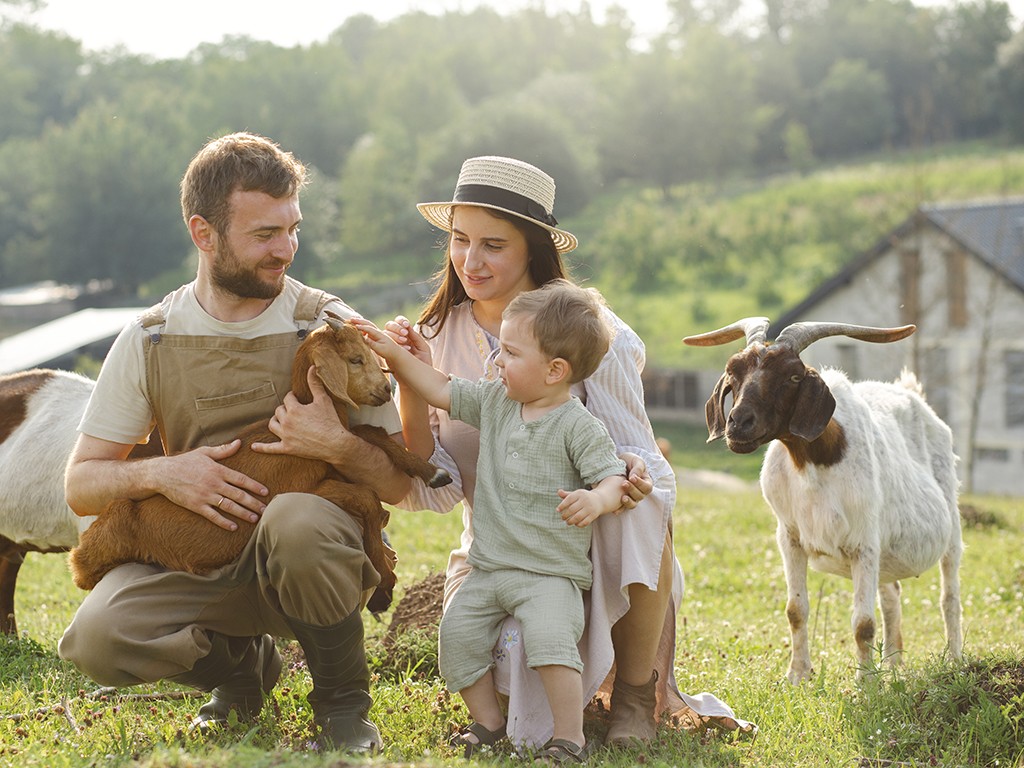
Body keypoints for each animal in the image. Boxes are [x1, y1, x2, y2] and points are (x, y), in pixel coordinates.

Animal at [66, 313, 446, 614]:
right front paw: (384, 579)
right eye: (355, 359)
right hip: (106, 537)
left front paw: (432, 474)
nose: (384, 390)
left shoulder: (334, 459)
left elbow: (370, 436)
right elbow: (365, 496)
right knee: (81, 573)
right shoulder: (307, 486)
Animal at [684, 319, 962, 684]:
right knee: (891, 597)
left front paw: (865, 682)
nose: (739, 424)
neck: (814, 465)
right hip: (887, 554)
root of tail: (912, 394)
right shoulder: (789, 537)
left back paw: (955, 660)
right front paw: (798, 675)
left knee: (949, 596)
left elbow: (863, 623)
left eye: (793, 376)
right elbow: (796, 610)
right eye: (733, 371)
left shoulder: (864, 544)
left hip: (950, 527)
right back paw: (892, 665)